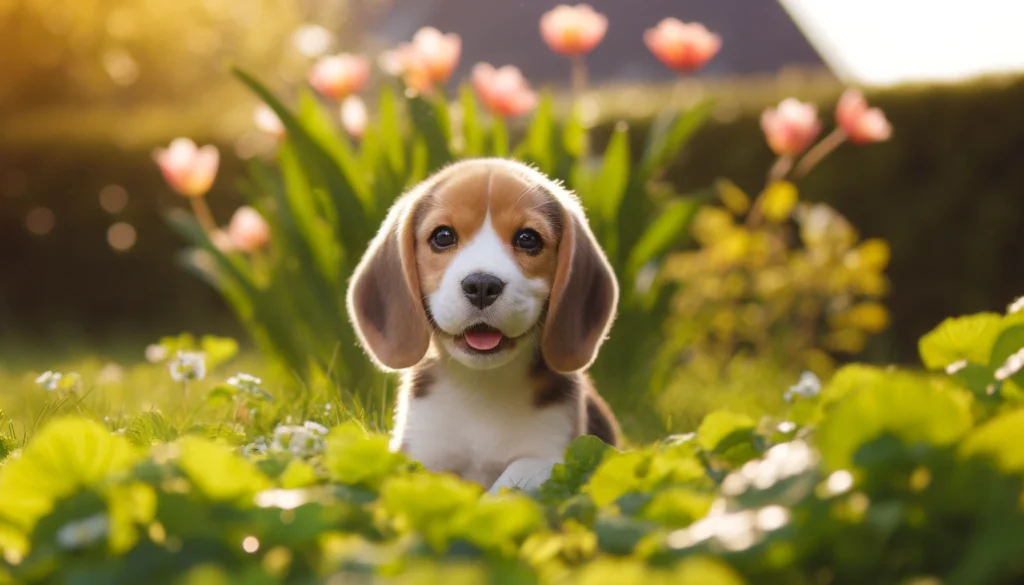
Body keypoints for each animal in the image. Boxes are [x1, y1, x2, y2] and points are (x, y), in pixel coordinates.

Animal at [346, 156, 614, 489]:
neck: (482, 385)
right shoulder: (422, 450)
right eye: (443, 236)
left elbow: (512, 479)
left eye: (528, 239)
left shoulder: (550, 454)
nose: (483, 285)